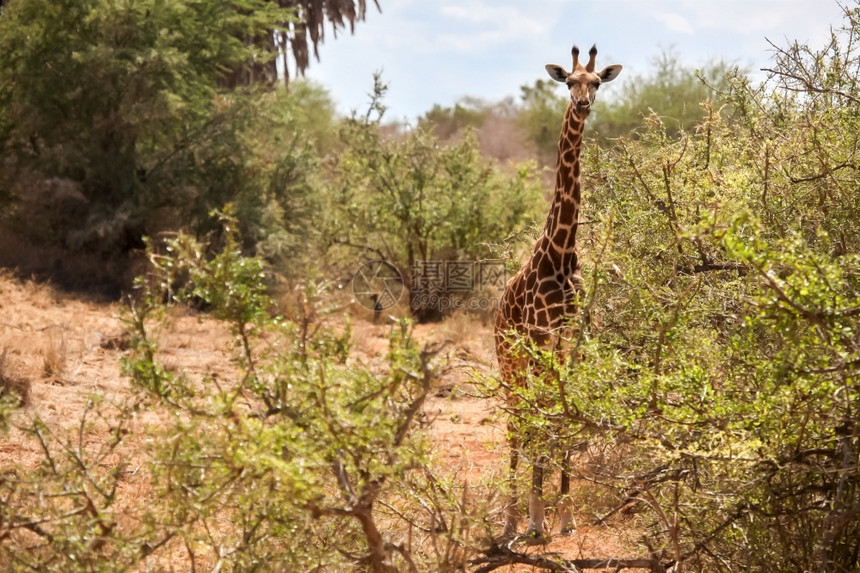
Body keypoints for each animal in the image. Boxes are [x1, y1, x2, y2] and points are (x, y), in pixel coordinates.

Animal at [494, 44, 620, 540]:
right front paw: (536, 517)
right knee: (516, 420)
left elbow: (564, 411)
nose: (582, 105)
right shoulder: (543, 336)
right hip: (510, 358)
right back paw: (513, 517)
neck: (562, 252)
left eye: (597, 82)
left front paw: (563, 513)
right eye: (568, 81)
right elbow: (544, 414)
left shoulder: (574, 337)